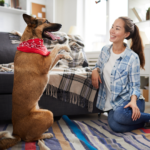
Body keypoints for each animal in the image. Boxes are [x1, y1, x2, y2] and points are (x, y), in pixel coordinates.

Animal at [0, 13, 72, 149]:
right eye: (47, 21)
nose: (61, 25)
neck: (31, 41)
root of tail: (16, 133)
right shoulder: (45, 65)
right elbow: (56, 47)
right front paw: (66, 47)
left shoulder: (48, 65)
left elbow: (57, 54)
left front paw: (67, 56)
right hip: (48, 114)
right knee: (30, 138)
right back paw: (45, 135)